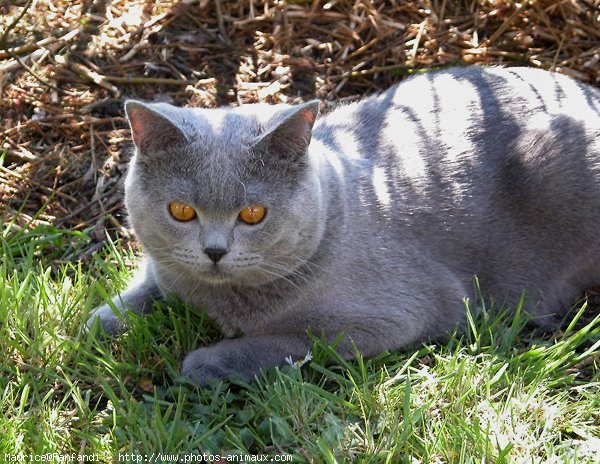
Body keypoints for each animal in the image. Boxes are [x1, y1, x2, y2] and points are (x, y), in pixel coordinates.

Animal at [88, 65, 600, 384]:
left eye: (253, 215)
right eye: (181, 212)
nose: (214, 251)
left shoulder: (400, 314)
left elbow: (290, 340)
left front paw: (205, 362)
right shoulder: (166, 269)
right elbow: (147, 286)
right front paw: (102, 319)